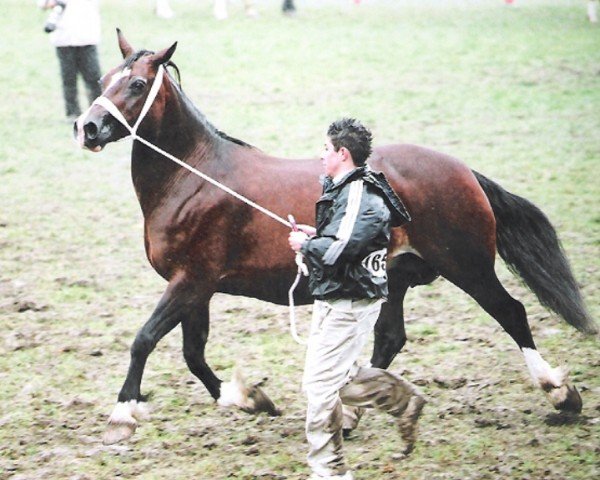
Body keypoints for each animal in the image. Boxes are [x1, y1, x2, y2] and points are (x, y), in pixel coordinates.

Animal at [75, 31, 596, 446]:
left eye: (137, 84)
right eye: (102, 81)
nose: (87, 127)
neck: (195, 176)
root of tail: (464, 170)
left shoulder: (191, 281)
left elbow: (144, 340)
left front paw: (122, 416)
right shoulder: (195, 288)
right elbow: (193, 353)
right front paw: (248, 398)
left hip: (467, 266)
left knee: (512, 313)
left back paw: (560, 393)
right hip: (395, 277)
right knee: (390, 339)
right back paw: (348, 413)